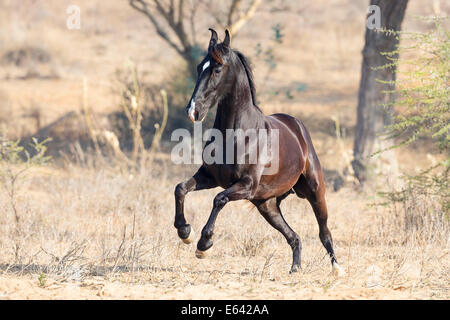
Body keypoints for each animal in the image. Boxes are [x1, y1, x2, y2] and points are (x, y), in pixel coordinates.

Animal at [174, 29, 342, 276]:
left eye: (217, 69)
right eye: (199, 67)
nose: (193, 111)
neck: (237, 134)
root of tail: (297, 127)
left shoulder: (246, 185)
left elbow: (218, 199)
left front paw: (203, 244)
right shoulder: (210, 177)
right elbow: (181, 188)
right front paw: (185, 231)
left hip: (315, 191)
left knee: (324, 232)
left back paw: (337, 268)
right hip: (266, 205)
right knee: (294, 237)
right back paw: (295, 268)